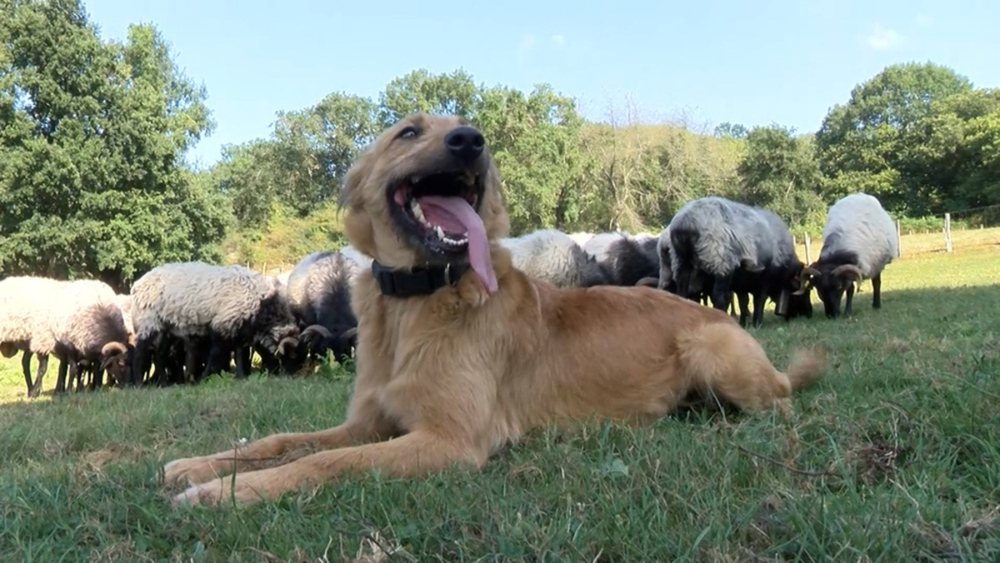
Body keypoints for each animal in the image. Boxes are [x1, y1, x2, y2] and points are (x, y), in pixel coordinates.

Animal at [664, 196, 812, 326]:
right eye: (804, 293)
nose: (809, 313)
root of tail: (685, 223)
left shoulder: (741, 282)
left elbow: (743, 302)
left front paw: (744, 323)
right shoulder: (766, 277)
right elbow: (759, 300)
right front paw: (757, 323)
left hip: (681, 261)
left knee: (682, 292)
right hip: (720, 263)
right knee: (719, 297)